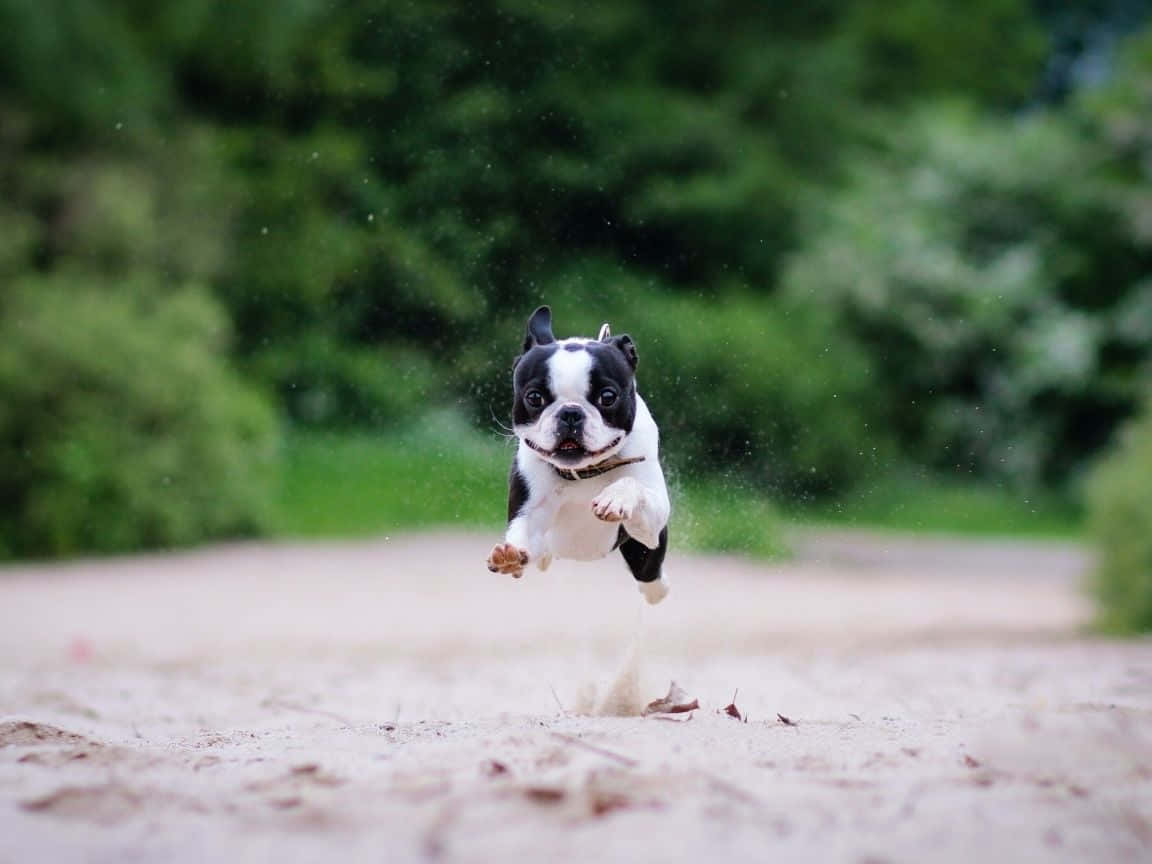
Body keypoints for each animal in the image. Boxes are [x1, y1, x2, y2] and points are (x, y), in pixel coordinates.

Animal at [488, 308, 672, 603]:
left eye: (608, 397)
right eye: (534, 398)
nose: (570, 412)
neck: (583, 472)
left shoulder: (654, 518)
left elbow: (633, 485)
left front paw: (615, 497)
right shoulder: (529, 514)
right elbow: (523, 534)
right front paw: (510, 556)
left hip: (647, 554)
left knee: (651, 581)